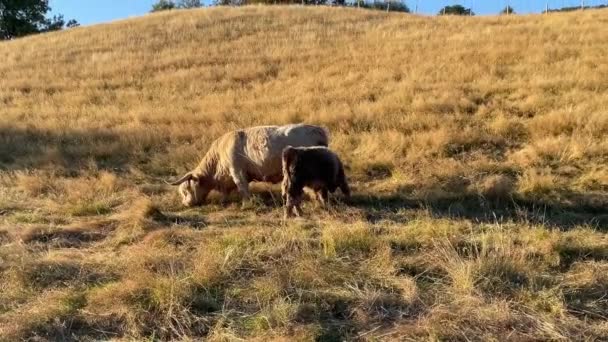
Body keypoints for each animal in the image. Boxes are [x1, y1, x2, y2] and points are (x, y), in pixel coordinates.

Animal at [167, 124, 328, 207]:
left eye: (186, 190)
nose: (185, 204)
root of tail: (318, 130)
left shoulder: (237, 171)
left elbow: (242, 188)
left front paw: (246, 204)